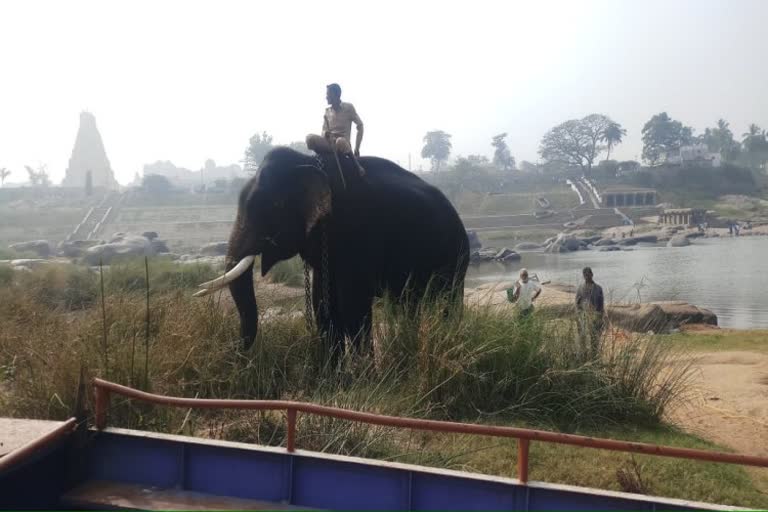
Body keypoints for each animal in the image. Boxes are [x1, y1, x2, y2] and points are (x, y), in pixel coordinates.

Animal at [195, 146, 468, 362]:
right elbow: (323, 304)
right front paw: (334, 377)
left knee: (447, 303)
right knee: (413, 304)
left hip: (454, 257)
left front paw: (363, 378)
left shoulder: (357, 232)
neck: (308, 162)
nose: (233, 356)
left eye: (273, 206)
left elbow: (352, 305)